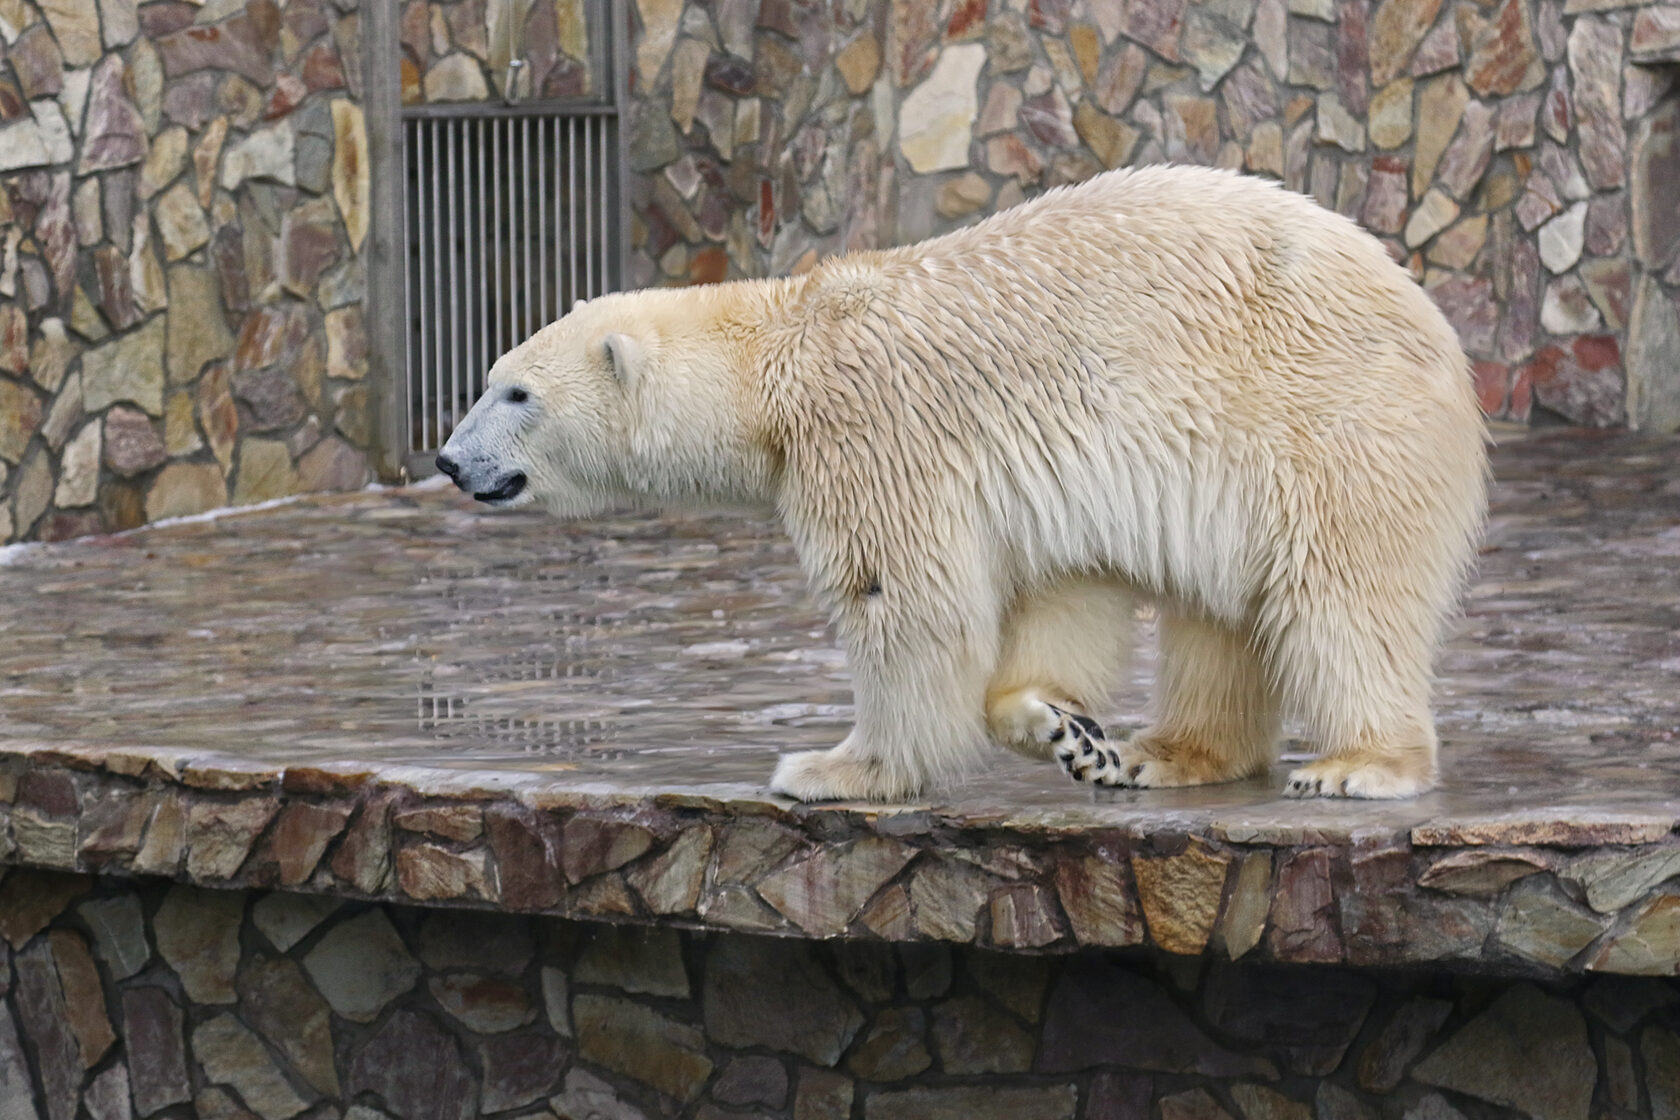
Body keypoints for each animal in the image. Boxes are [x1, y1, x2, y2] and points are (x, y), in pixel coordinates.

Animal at [440, 162, 1491, 802]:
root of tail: (1437, 330)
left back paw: (1359, 764)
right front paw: (1067, 730)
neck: (781, 352)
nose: (451, 459)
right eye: (487, 376)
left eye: (517, 390)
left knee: (1340, 595)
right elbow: (1067, 590)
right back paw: (1167, 753)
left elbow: (903, 599)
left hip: (1325, 422)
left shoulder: (874, 432)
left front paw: (832, 768)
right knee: (1219, 612)